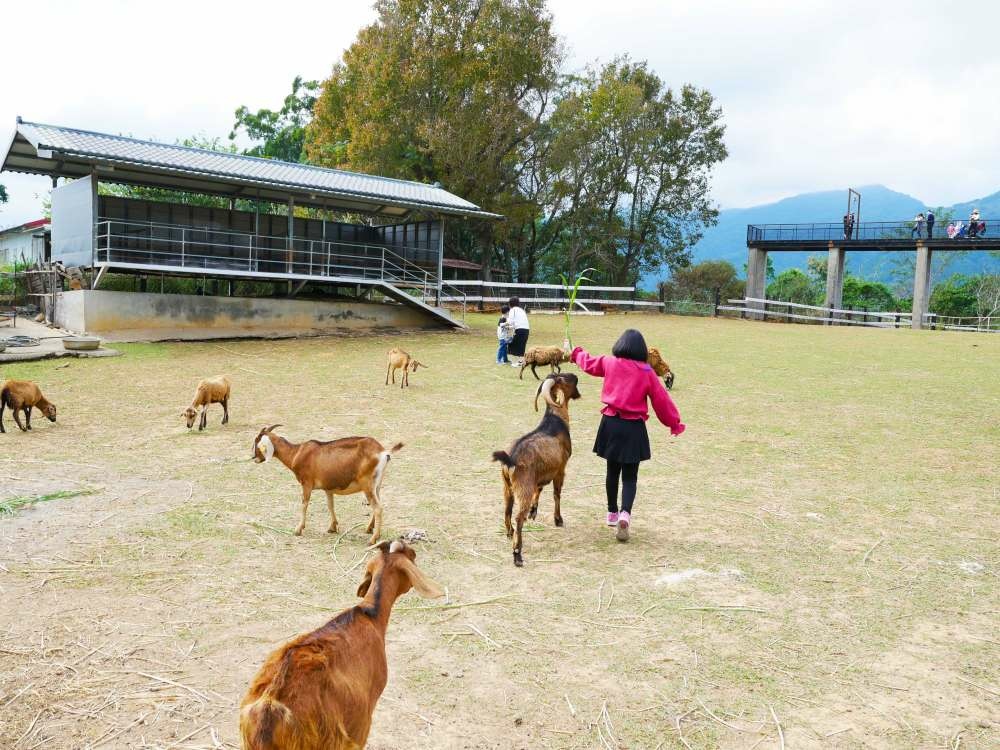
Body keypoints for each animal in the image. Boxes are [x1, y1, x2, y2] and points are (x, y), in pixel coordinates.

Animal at [252, 426, 404, 544]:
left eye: (257, 440)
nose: (254, 458)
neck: (296, 452)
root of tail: (383, 452)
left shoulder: (306, 484)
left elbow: (304, 504)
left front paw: (298, 529)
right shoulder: (328, 488)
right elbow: (330, 505)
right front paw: (332, 527)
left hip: (367, 485)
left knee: (378, 508)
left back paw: (372, 539)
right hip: (376, 485)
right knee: (379, 504)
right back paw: (370, 529)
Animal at [490, 374, 580, 568]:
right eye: (564, 378)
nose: (576, 375)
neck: (556, 420)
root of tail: (511, 459)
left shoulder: (541, 475)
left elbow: (539, 489)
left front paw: (534, 510)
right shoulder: (560, 470)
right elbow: (556, 494)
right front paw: (558, 520)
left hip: (507, 487)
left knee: (507, 511)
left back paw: (510, 533)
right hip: (523, 488)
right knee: (518, 517)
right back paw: (517, 554)